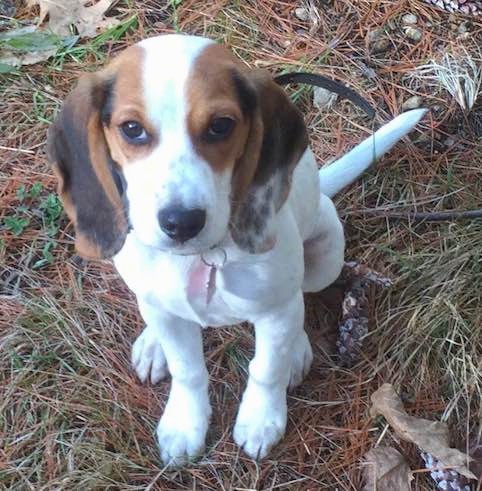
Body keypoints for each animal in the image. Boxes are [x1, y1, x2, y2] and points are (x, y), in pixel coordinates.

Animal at [47, 33, 426, 466]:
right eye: (131, 129)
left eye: (220, 126)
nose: (181, 222)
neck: (202, 256)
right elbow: (187, 369)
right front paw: (185, 423)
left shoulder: (276, 310)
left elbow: (266, 368)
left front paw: (261, 419)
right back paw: (153, 343)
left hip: (326, 252)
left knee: (302, 300)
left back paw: (297, 349)